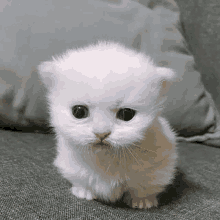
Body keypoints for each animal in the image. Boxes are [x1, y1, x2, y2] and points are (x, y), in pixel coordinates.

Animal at [37, 41, 177, 210]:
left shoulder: (158, 168)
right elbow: (82, 180)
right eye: (79, 112)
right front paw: (84, 192)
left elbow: (142, 187)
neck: (106, 158)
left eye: (126, 114)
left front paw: (142, 201)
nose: (101, 133)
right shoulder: (71, 164)